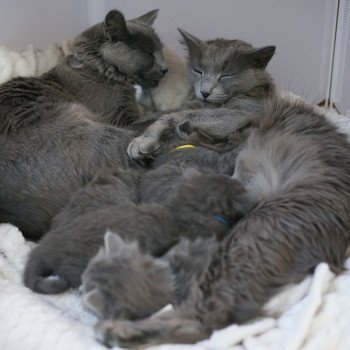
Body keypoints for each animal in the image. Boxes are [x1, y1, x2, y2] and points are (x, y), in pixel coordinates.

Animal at [96, 97, 350, 348]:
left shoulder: (232, 117)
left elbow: (173, 118)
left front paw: (146, 141)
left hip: (248, 240)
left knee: (206, 321)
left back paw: (120, 330)